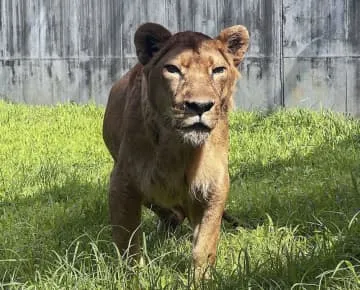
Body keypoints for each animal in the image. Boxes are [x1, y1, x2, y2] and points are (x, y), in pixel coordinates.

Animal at [102, 22, 249, 276]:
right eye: (172, 69)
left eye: (218, 70)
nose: (200, 106)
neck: (179, 148)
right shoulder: (123, 183)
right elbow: (128, 244)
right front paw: (134, 277)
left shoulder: (214, 184)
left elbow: (205, 245)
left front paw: (201, 279)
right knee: (168, 212)